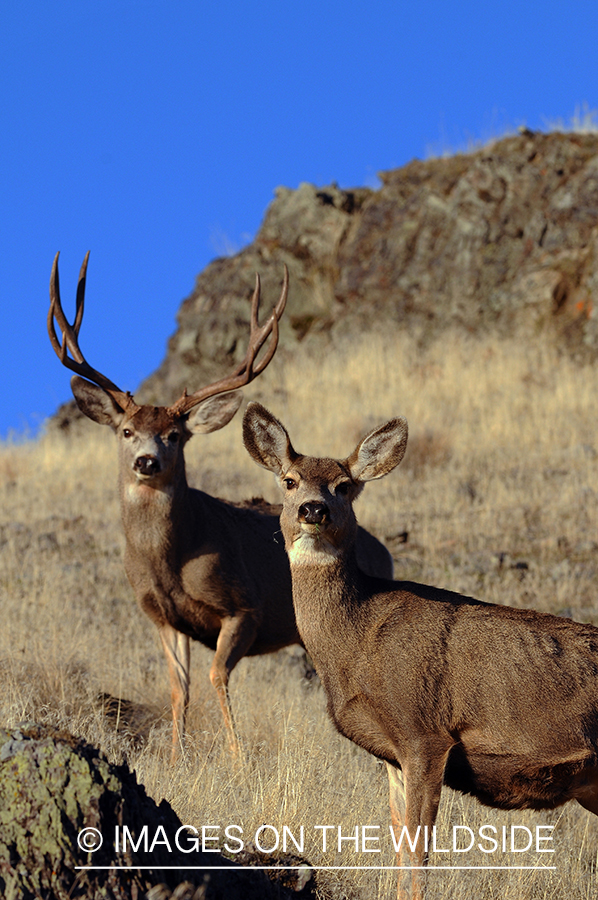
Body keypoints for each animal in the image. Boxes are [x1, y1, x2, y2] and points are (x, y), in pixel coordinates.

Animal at [47, 253, 394, 762]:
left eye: (175, 435)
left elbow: (216, 676)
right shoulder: (161, 615)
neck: (169, 558)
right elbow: (179, 687)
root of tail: (385, 552)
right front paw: (177, 756)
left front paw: (236, 757)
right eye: (126, 431)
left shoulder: (243, 607)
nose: (147, 461)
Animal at [243, 401, 598, 900]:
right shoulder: (392, 752)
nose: (314, 509)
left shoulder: (425, 732)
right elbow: (397, 846)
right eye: (289, 480)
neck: (357, 641)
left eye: (344, 486)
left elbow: (417, 852)